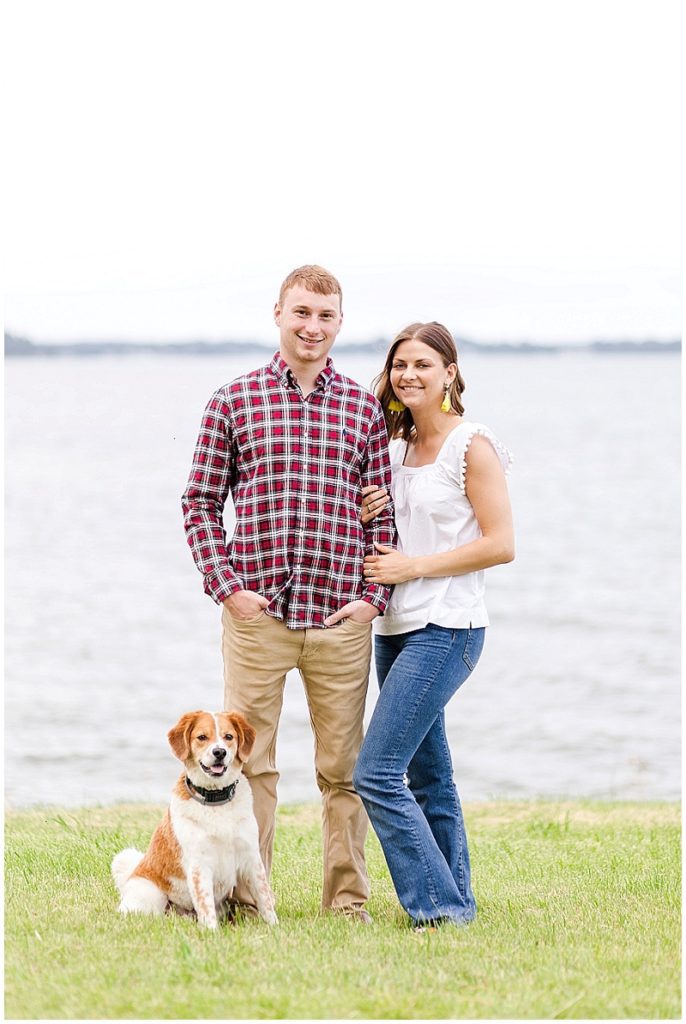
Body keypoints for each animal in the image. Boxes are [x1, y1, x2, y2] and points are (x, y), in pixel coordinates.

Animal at [110, 712, 276, 929]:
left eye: (228, 737)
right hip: (151, 895)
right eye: (202, 737)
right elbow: (205, 904)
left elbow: (265, 898)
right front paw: (212, 932)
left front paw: (275, 927)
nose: (219, 752)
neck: (216, 801)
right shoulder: (200, 865)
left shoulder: (251, 859)